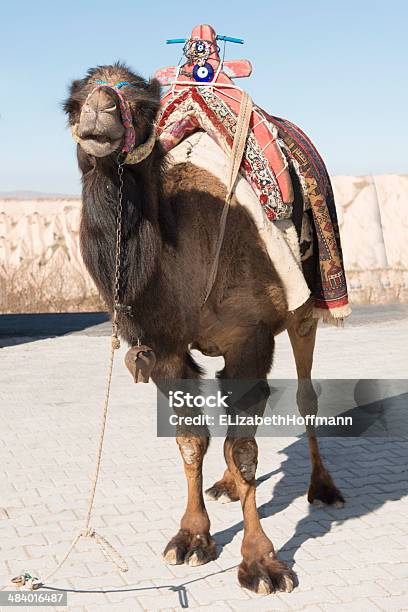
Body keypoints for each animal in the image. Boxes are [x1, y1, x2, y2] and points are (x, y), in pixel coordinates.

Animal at [63, 64, 344, 596]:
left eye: (140, 102)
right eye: (74, 100)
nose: (99, 110)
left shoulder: (249, 338)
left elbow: (247, 448)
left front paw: (261, 563)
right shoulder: (165, 349)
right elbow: (192, 440)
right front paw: (192, 537)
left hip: (305, 309)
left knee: (306, 397)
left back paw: (323, 488)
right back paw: (228, 486)